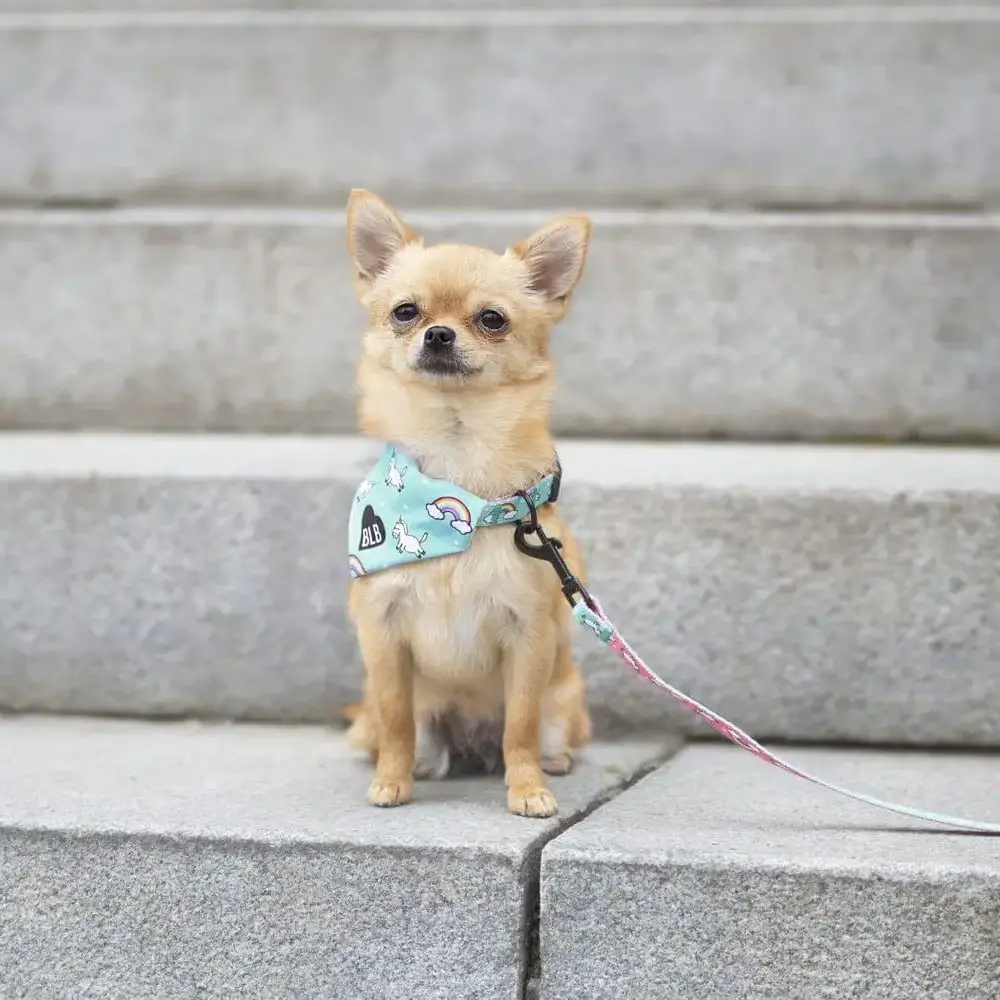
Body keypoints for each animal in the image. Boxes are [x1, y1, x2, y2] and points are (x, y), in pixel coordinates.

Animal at [344, 189, 592, 818]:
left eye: (491, 319)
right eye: (405, 312)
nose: (438, 334)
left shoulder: (528, 638)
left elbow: (520, 727)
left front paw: (527, 789)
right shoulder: (383, 636)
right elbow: (396, 721)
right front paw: (391, 783)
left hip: (564, 701)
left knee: (531, 733)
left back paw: (551, 762)